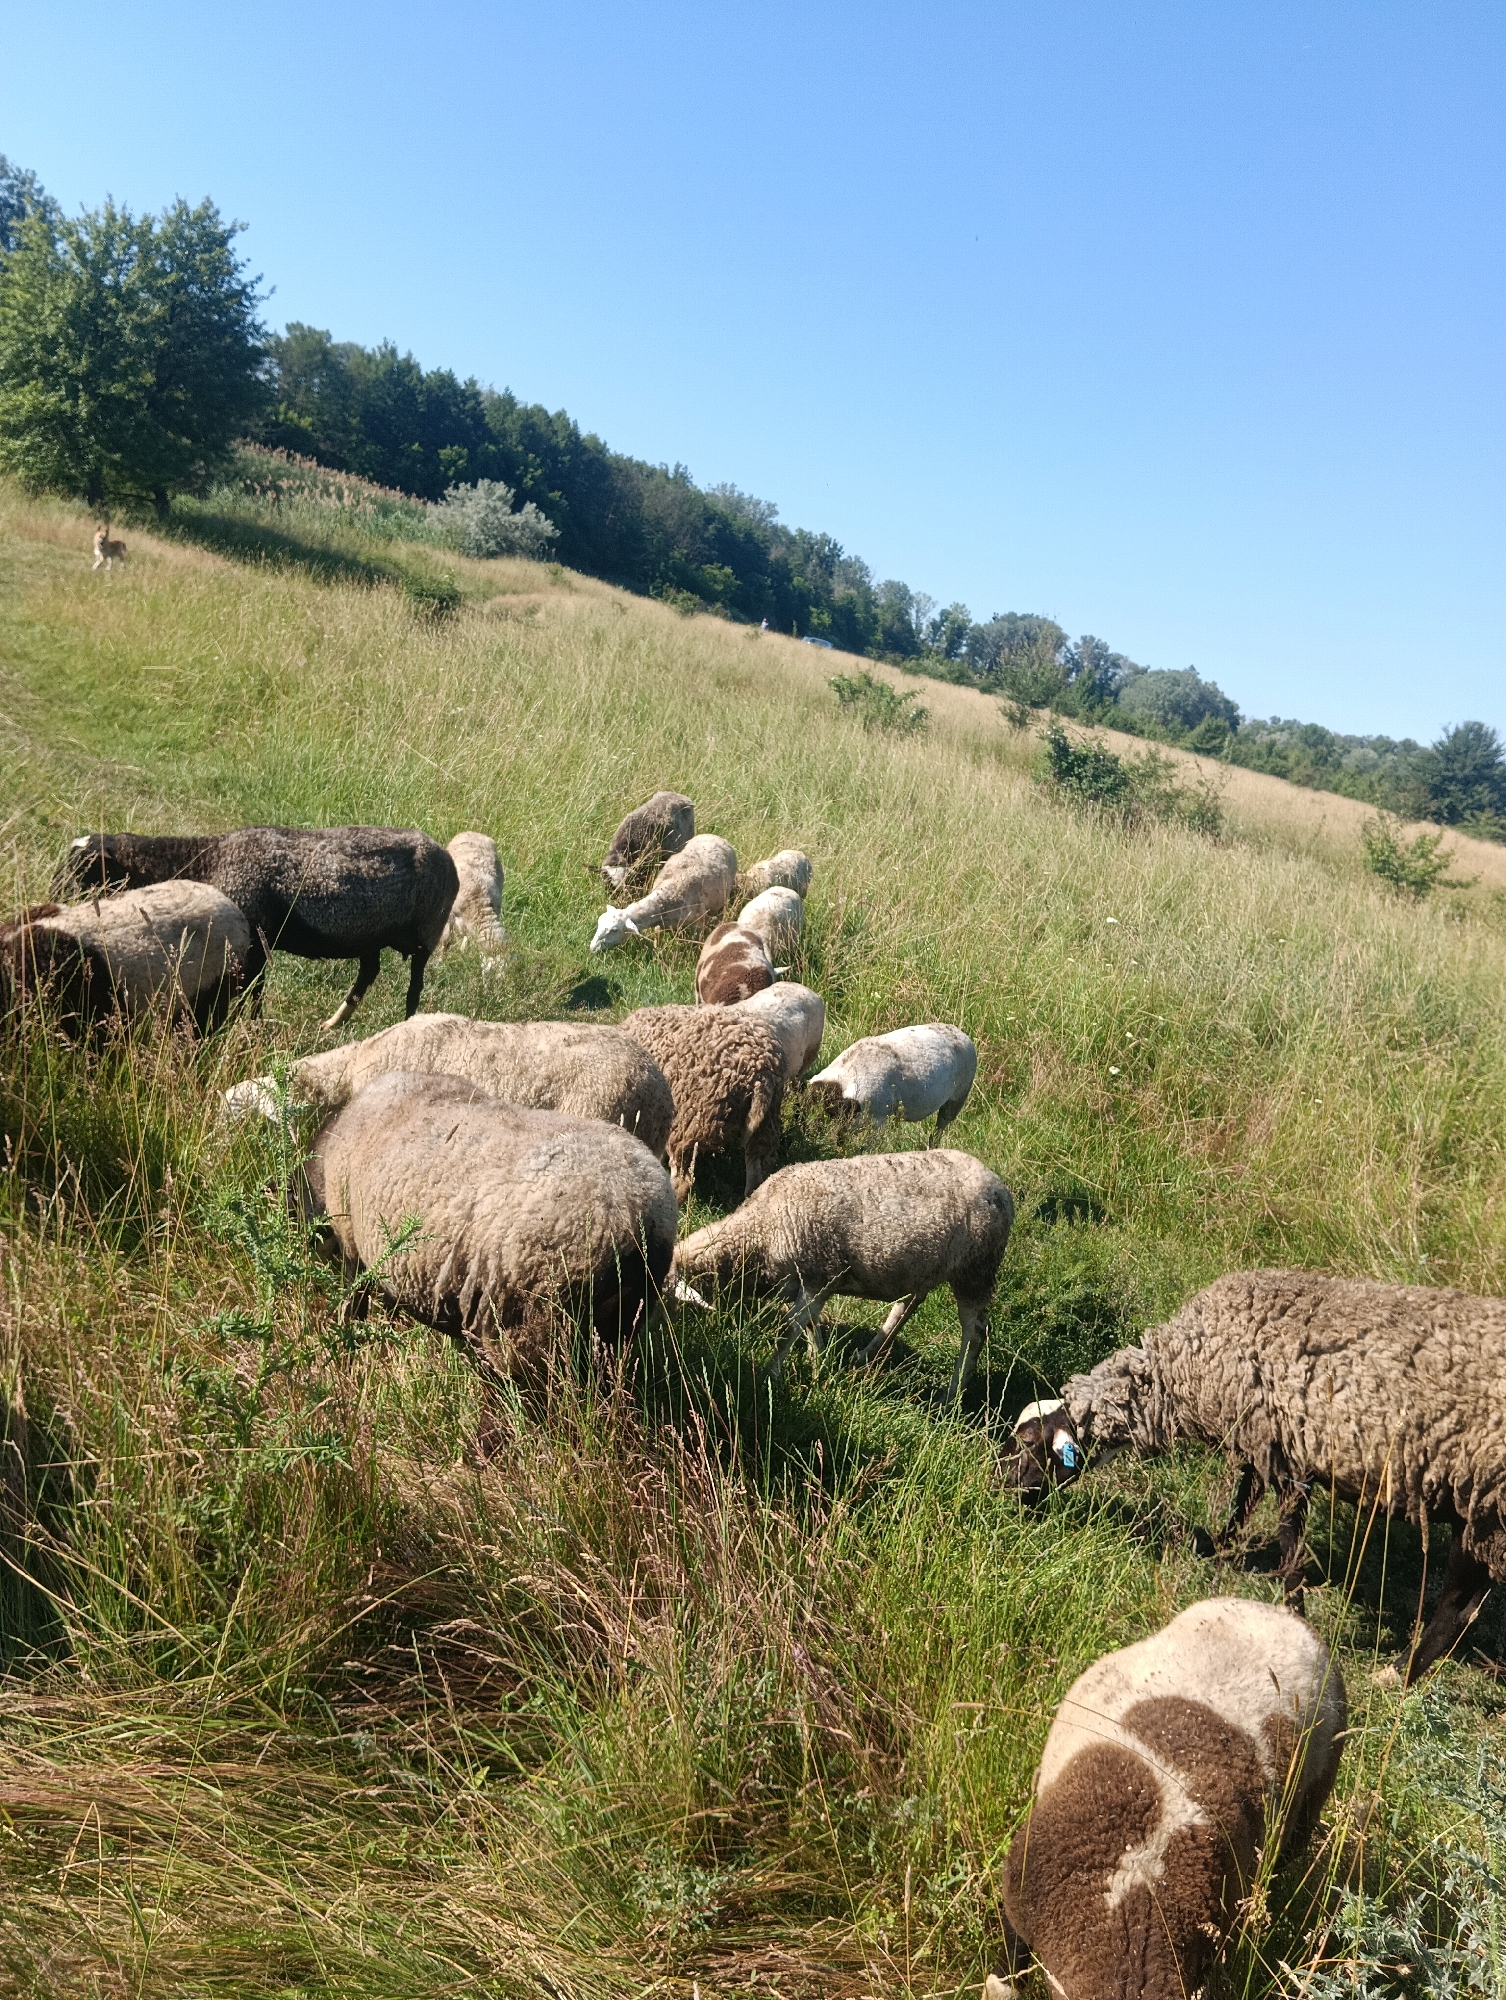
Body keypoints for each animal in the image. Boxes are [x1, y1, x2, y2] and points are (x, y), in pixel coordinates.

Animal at [61, 826, 458, 1029]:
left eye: (82, 868)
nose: (56, 894)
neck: (208, 861)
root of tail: (447, 858)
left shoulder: (253, 945)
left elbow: (253, 993)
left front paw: (248, 1029)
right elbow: (254, 992)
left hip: (427, 931)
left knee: (415, 986)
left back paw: (405, 1025)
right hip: (369, 935)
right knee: (368, 972)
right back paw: (332, 1024)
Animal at [590, 834, 738, 953]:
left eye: (614, 930)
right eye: (599, 922)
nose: (592, 948)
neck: (667, 896)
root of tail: (714, 836)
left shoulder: (698, 924)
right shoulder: (660, 926)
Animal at [671, 1149, 1013, 1398]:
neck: (760, 1229)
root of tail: (997, 1184)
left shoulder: (815, 1278)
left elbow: (788, 1331)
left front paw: (770, 1374)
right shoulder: (813, 1287)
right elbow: (810, 1328)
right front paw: (818, 1366)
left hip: (976, 1269)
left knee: (974, 1333)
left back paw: (951, 1396)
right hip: (925, 1265)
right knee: (910, 1303)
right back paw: (867, 1354)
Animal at [1009, 1269, 1506, 1685]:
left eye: (1029, 1441)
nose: (1001, 1489)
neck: (1183, 1368)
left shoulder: (1284, 1451)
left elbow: (1289, 1546)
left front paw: (1296, 1616)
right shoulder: (1259, 1444)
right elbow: (1243, 1505)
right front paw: (1217, 1552)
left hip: (1486, 1503)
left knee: (1456, 1607)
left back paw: (1395, 1675)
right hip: (1477, 1509)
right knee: (1467, 1603)